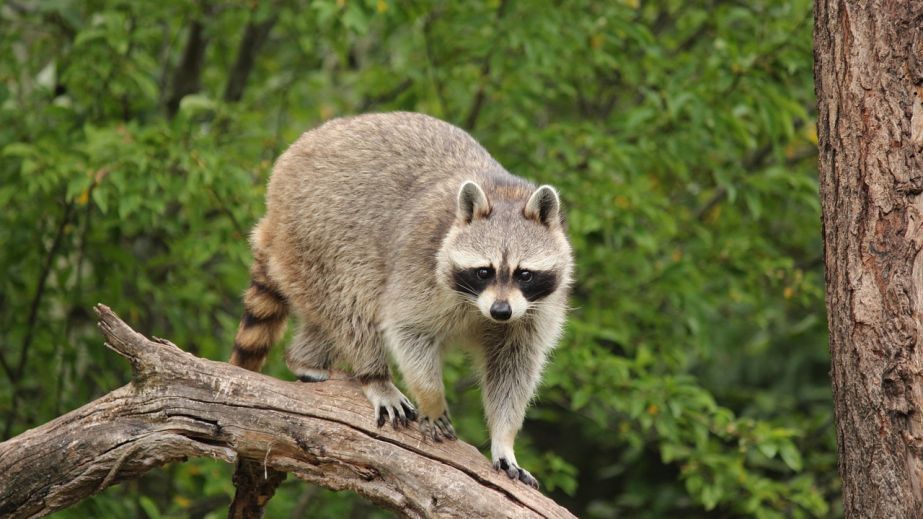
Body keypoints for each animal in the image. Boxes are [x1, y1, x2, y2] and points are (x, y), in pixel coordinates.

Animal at [231, 111, 572, 490]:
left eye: (524, 274)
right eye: (484, 271)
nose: (501, 311)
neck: (505, 193)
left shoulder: (535, 309)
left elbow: (514, 367)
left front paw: (504, 439)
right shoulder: (420, 262)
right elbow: (407, 328)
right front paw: (432, 398)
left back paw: (304, 359)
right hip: (318, 232)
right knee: (354, 302)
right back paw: (373, 376)